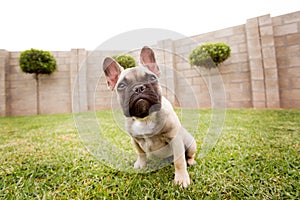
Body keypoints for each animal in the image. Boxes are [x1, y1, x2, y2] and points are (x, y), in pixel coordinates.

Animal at [103, 46, 197, 188]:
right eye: (121, 86)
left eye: (152, 78)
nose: (138, 88)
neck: (145, 118)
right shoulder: (134, 139)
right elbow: (140, 153)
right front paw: (141, 165)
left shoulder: (175, 138)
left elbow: (179, 160)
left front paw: (181, 179)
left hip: (191, 144)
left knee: (188, 155)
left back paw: (190, 161)